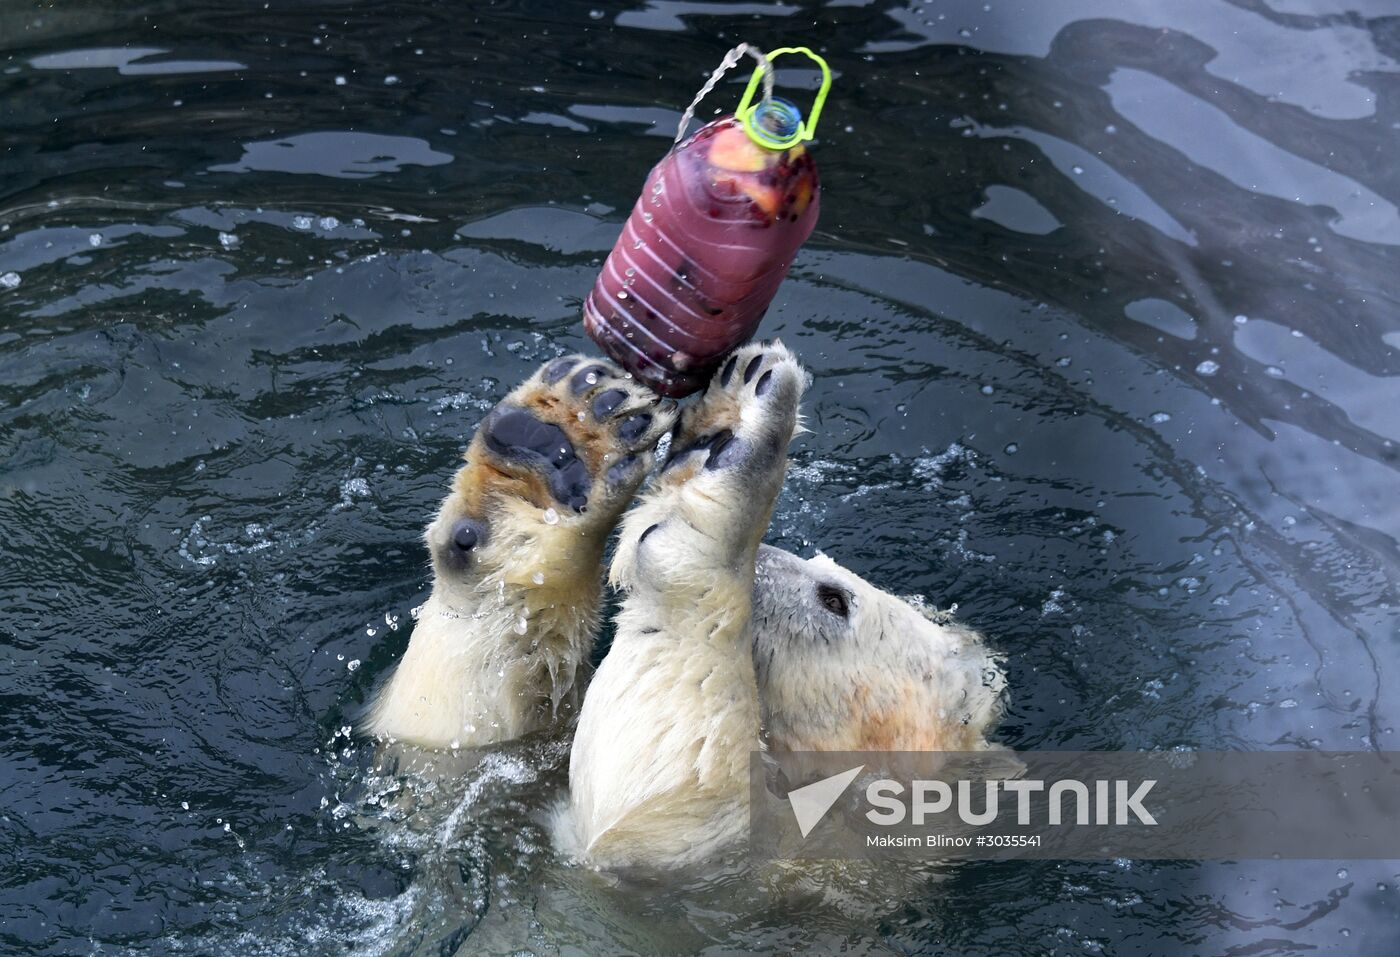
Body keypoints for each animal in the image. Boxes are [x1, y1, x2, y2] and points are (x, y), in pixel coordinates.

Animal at [564, 341, 1006, 869]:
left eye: (834, 598)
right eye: (819, 558)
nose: (766, 559)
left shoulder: (748, 854)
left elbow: (675, 784)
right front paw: (717, 419)